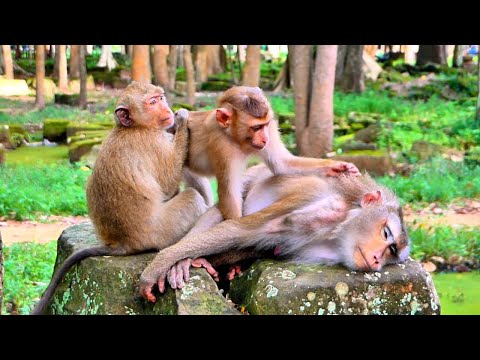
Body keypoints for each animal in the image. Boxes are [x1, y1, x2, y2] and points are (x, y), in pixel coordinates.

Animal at [31, 82, 212, 316]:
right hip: (161, 232)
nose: (167, 109)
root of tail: (124, 243)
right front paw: (181, 120)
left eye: (160, 98)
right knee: (191, 198)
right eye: (152, 102)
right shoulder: (153, 142)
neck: (132, 127)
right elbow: (168, 183)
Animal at [139, 165, 408, 302]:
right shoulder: (322, 205)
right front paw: (163, 265)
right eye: (386, 233)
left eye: (392, 252)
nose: (377, 260)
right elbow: (240, 230)